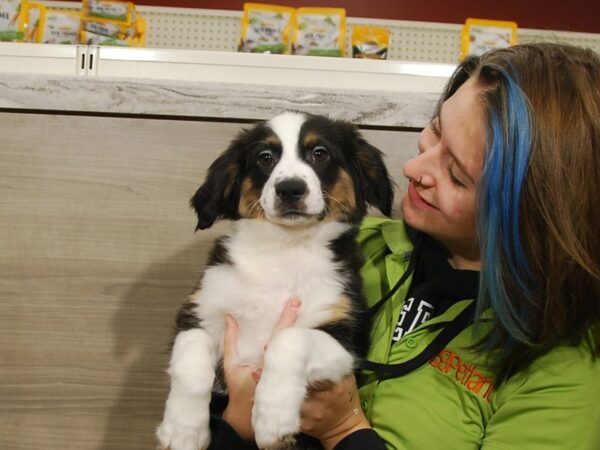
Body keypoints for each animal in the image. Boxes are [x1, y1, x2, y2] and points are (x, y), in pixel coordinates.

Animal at [157, 110, 396, 450]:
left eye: (319, 153)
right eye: (265, 157)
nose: (290, 189)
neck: (284, 249)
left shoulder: (345, 341)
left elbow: (289, 339)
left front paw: (273, 417)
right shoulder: (201, 311)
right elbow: (189, 364)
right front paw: (183, 430)